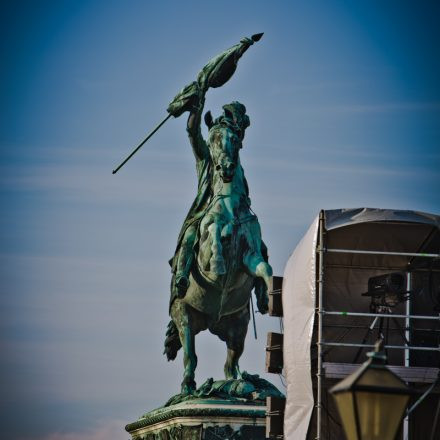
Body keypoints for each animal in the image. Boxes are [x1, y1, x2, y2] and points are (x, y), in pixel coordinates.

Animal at [163, 121, 272, 396]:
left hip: (238, 330)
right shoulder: (205, 244)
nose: (226, 167)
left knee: (229, 365)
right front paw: (219, 263)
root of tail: (212, 323)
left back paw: (236, 384)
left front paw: (272, 293)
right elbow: (212, 238)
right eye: (211, 139)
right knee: (190, 355)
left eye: (234, 138)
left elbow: (265, 267)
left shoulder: (251, 255)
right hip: (184, 316)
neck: (231, 208)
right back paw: (189, 387)